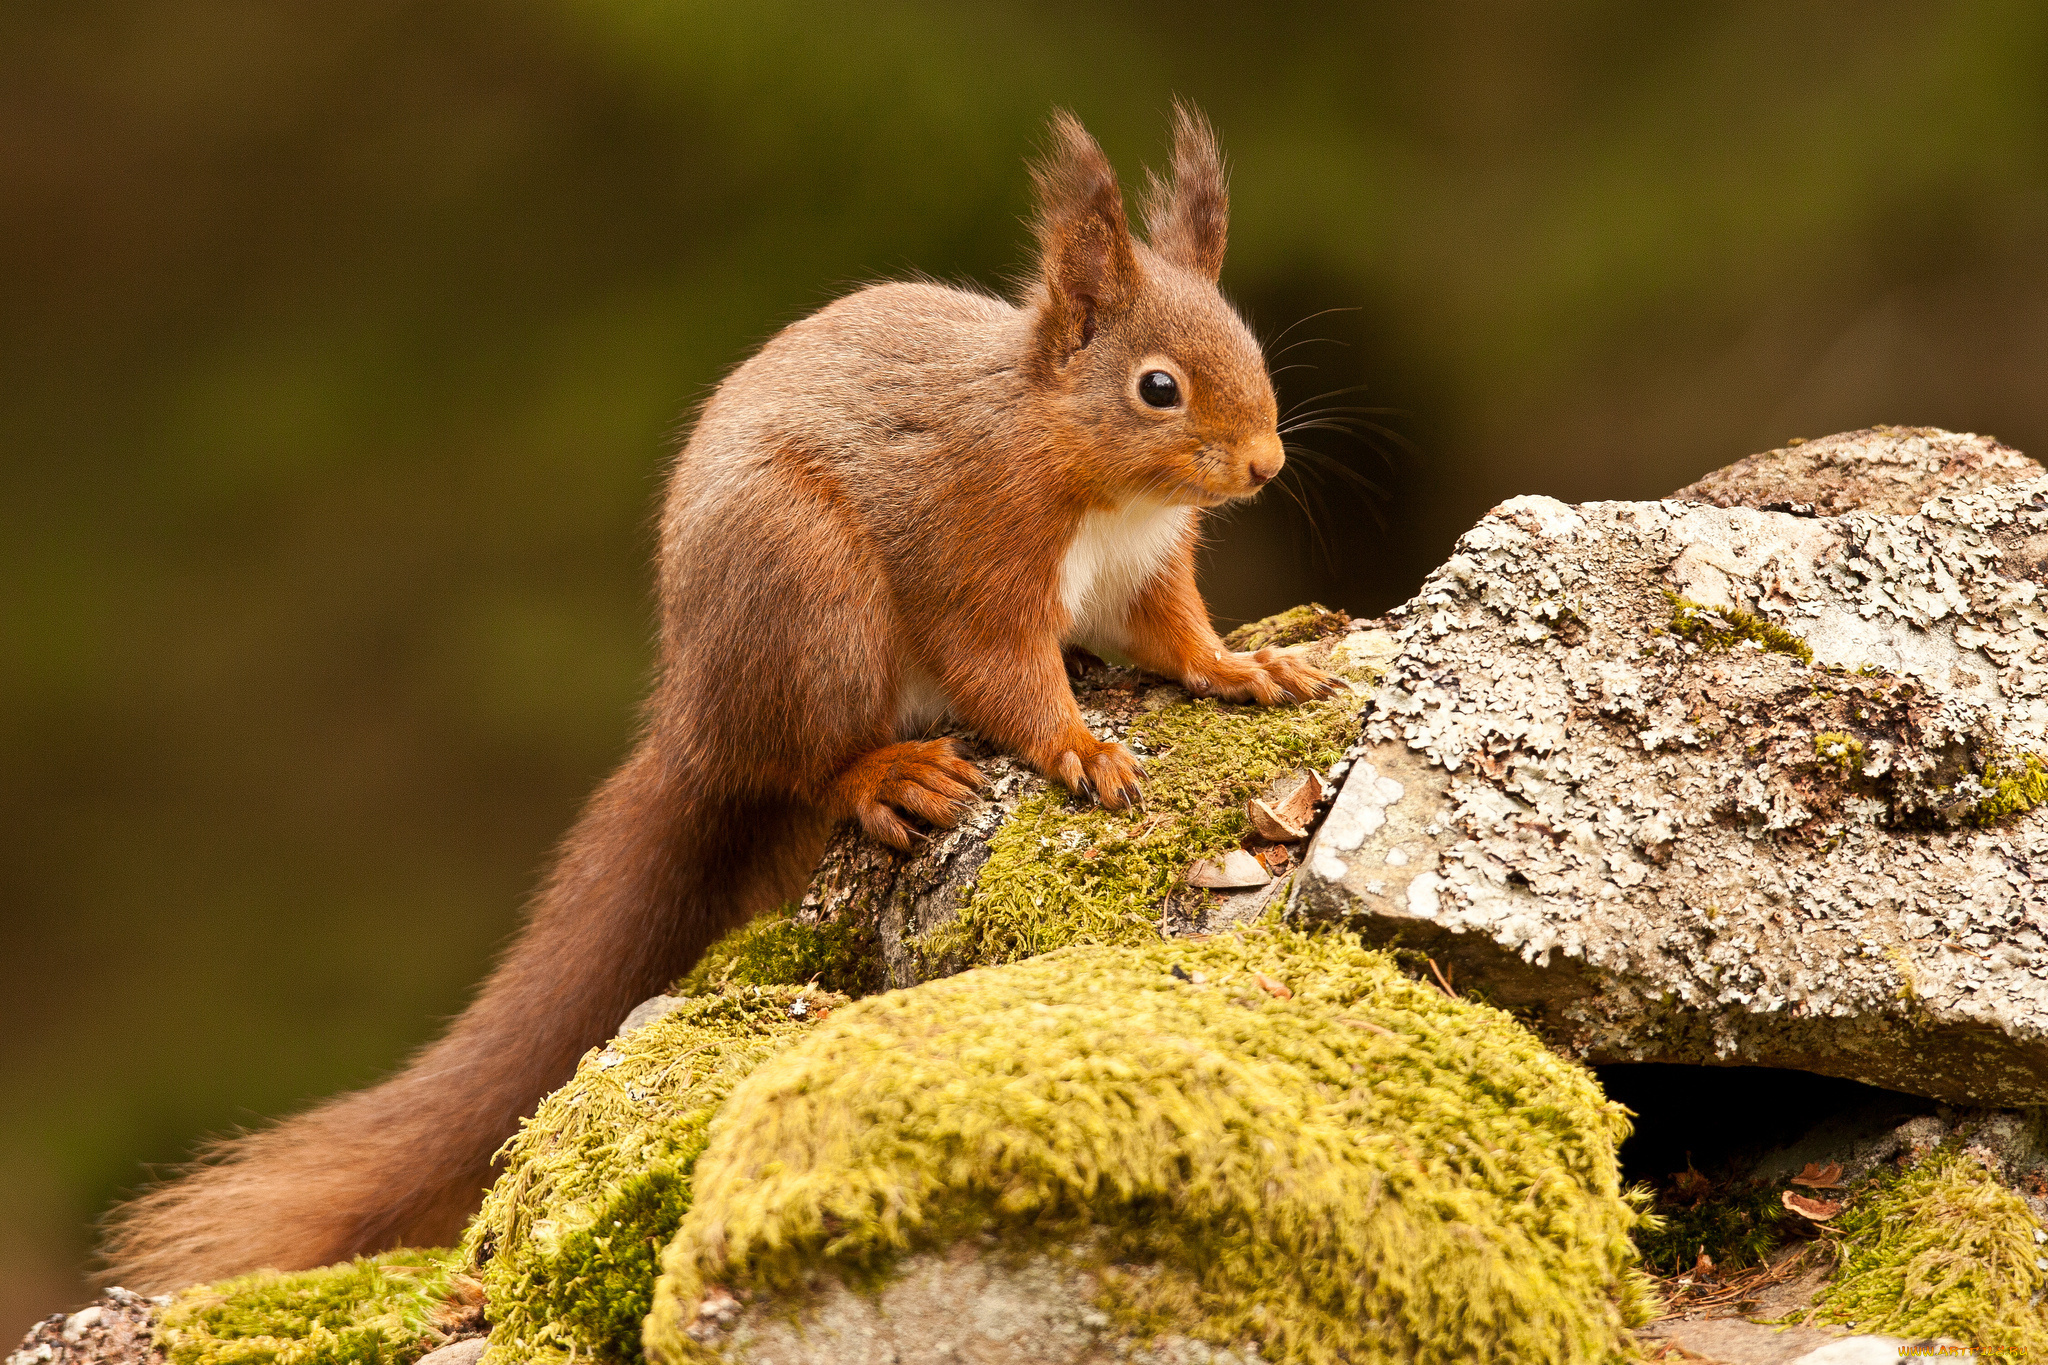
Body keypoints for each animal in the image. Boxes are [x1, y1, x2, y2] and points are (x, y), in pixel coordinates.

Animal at [103, 104, 1335, 1293]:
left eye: (1250, 349)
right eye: (1158, 388)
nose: (1265, 465)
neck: (1085, 470)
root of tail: (693, 723)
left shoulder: (1144, 573)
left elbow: (1176, 637)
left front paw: (1247, 668)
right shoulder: (974, 555)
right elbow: (1002, 673)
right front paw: (1080, 746)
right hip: (808, 599)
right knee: (808, 763)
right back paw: (887, 773)